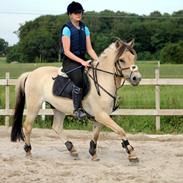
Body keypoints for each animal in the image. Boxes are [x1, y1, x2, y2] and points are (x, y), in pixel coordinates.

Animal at [10, 38, 142, 162]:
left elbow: (96, 135)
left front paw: (93, 153)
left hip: (58, 108)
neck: (103, 79)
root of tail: (30, 73)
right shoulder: (101, 115)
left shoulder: (100, 117)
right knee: (28, 127)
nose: (137, 78)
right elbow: (120, 131)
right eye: (121, 60)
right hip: (34, 105)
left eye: (133, 58)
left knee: (57, 127)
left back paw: (72, 149)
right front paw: (131, 153)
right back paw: (28, 152)